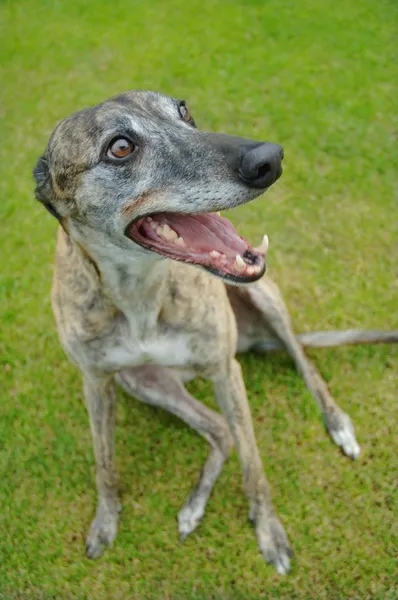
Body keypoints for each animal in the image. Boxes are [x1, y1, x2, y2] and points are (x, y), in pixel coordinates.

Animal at [34, 91, 398, 576]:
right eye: (120, 147)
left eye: (183, 110)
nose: (269, 159)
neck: (140, 294)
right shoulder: (96, 382)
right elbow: (104, 465)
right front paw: (105, 522)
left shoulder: (226, 371)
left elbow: (254, 466)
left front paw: (270, 533)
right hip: (142, 380)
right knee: (220, 431)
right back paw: (192, 508)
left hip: (263, 299)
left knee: (301, 361)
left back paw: (337, 423)